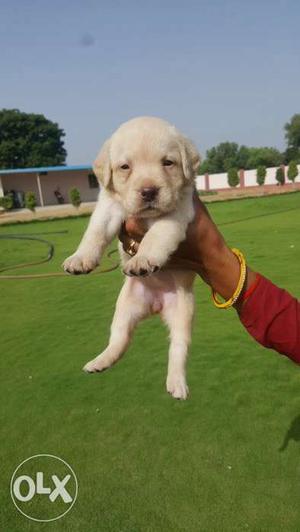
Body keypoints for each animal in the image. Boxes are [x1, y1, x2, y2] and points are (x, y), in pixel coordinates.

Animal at [63, 116, 199, 400]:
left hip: (184, 312)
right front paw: (80, 259)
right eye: (125, 167)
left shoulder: (177, 211)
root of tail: (156, 305)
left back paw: (177, 384)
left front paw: (142, 259)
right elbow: (94, 232)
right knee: (119, 339)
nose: (149, 191)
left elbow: (156, 235)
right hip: (124, 308)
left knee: (178, 347)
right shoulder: (108, 205)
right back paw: (100, 362)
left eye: (168, 163)